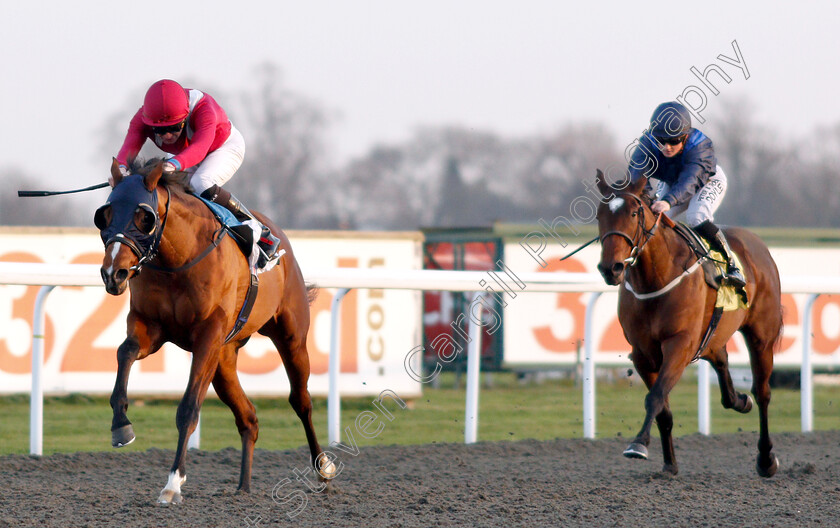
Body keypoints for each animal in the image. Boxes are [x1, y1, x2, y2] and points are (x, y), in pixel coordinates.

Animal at [94, 158, 334, 504]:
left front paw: (172, 483)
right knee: (249, 418)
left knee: (301, 401)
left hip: (291, 337)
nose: (114, 274)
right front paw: (121, 426)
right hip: (224, 360)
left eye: (144, 217)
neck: (178, 259)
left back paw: (323, 470)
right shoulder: (149, 327)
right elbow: (124, 352)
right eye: (105, 215)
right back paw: (243, 487)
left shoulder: (207, 337)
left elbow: (189, 407)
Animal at [592, 170, 780, 478]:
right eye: (599, 215)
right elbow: (663, 409)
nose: (612, 268)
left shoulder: (679, 344)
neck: (656, 278)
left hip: (761, 336)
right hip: (711, 336)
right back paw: (740, 401)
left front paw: (638, 444)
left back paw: (766, 459)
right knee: (722, 362)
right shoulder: (642, 354)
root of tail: (758, 244)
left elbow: (655, 397)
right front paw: (669, 464)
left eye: (634, 213)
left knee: (763, 393)